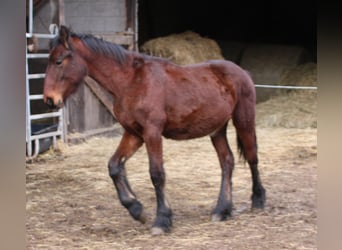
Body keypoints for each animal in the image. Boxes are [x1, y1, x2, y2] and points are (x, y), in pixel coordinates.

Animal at [43, 25, 268, 234]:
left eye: (59, 61)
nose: (49, 100)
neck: (132, 81)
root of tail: (242, 72)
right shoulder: (134, 134)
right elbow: (114, 166)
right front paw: (136, 209)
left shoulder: (152, 133)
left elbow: (157, 174)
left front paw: (162, 219)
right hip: (217, 130)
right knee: (227, 161)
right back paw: (222, 210)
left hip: (243, 120)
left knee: (252, 158)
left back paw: (258, 200)